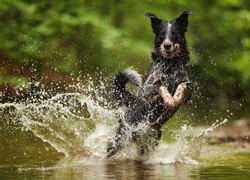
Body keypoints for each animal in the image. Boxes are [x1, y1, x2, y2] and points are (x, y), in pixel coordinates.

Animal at [108, 11, 193, 158]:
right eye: (162, 34)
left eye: (175, 33)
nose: (167, 45)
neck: (170, 65)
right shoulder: (147, 89)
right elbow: (160, 85)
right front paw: (170, 100)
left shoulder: (189, 88)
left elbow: (182, 86)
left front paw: (175, 99)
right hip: (119, 140)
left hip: (150, 142)